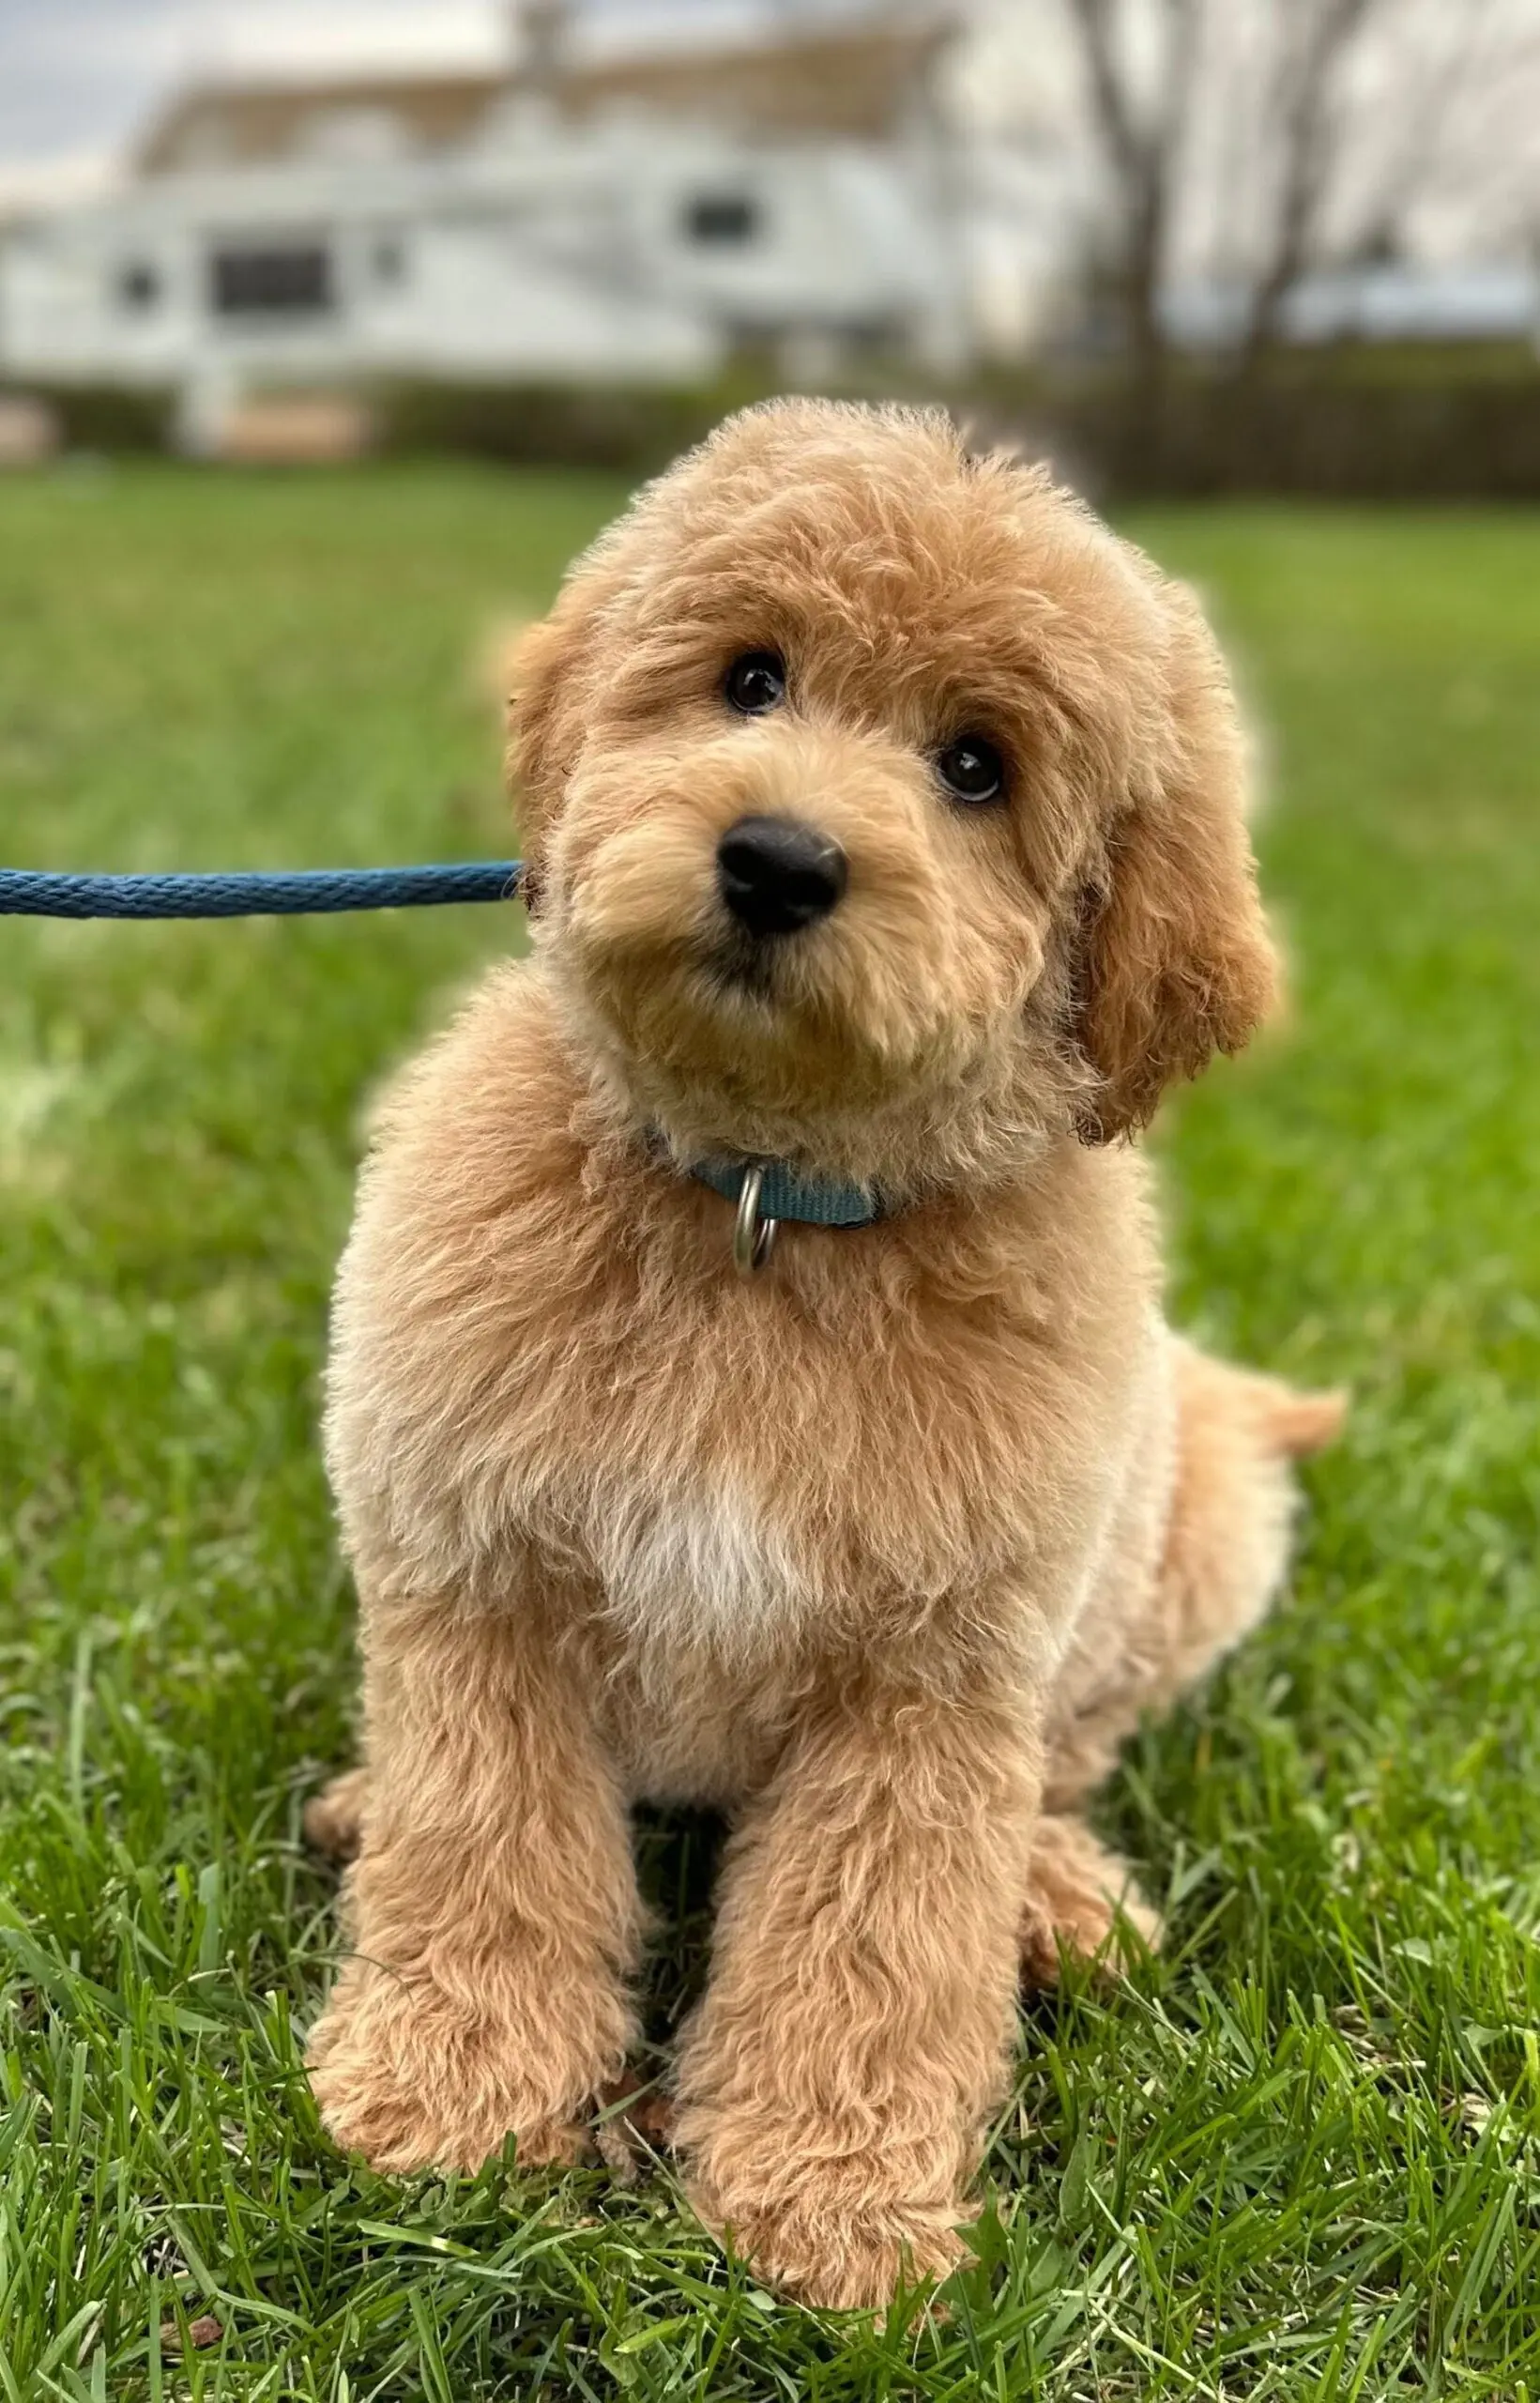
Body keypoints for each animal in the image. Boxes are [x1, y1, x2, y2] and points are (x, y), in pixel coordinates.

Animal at [302, 398, 1335, 2306]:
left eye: (979, 767)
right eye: (749, 678)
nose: (777, 861)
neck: (763, 1208)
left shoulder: (925, 1684)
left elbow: (873, 1941)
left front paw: (829, 2209)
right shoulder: (481, 1582)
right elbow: (483, 1843)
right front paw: (449, 2095)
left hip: (1185, 1547)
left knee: (1067, 1758)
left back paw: (1054, 1898)